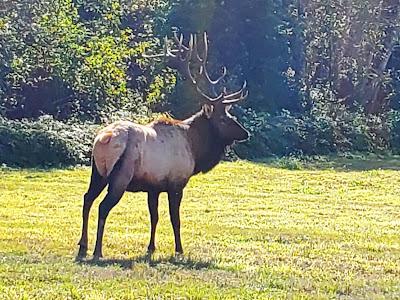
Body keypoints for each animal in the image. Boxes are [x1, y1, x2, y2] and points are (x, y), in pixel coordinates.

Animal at [76, 31, 248, 258]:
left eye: (231, 115)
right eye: (224, 119)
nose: (246, 133)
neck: (195, 148)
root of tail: (104, 138)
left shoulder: (154, 187)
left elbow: (154, 217)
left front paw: (151, 248)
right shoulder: (176, 183)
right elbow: (175, 219)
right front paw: (179, 250)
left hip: (97, 171)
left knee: (87, 199)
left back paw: (83, 245)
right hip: (121, 175)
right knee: (103, 207)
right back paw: (97, 250)